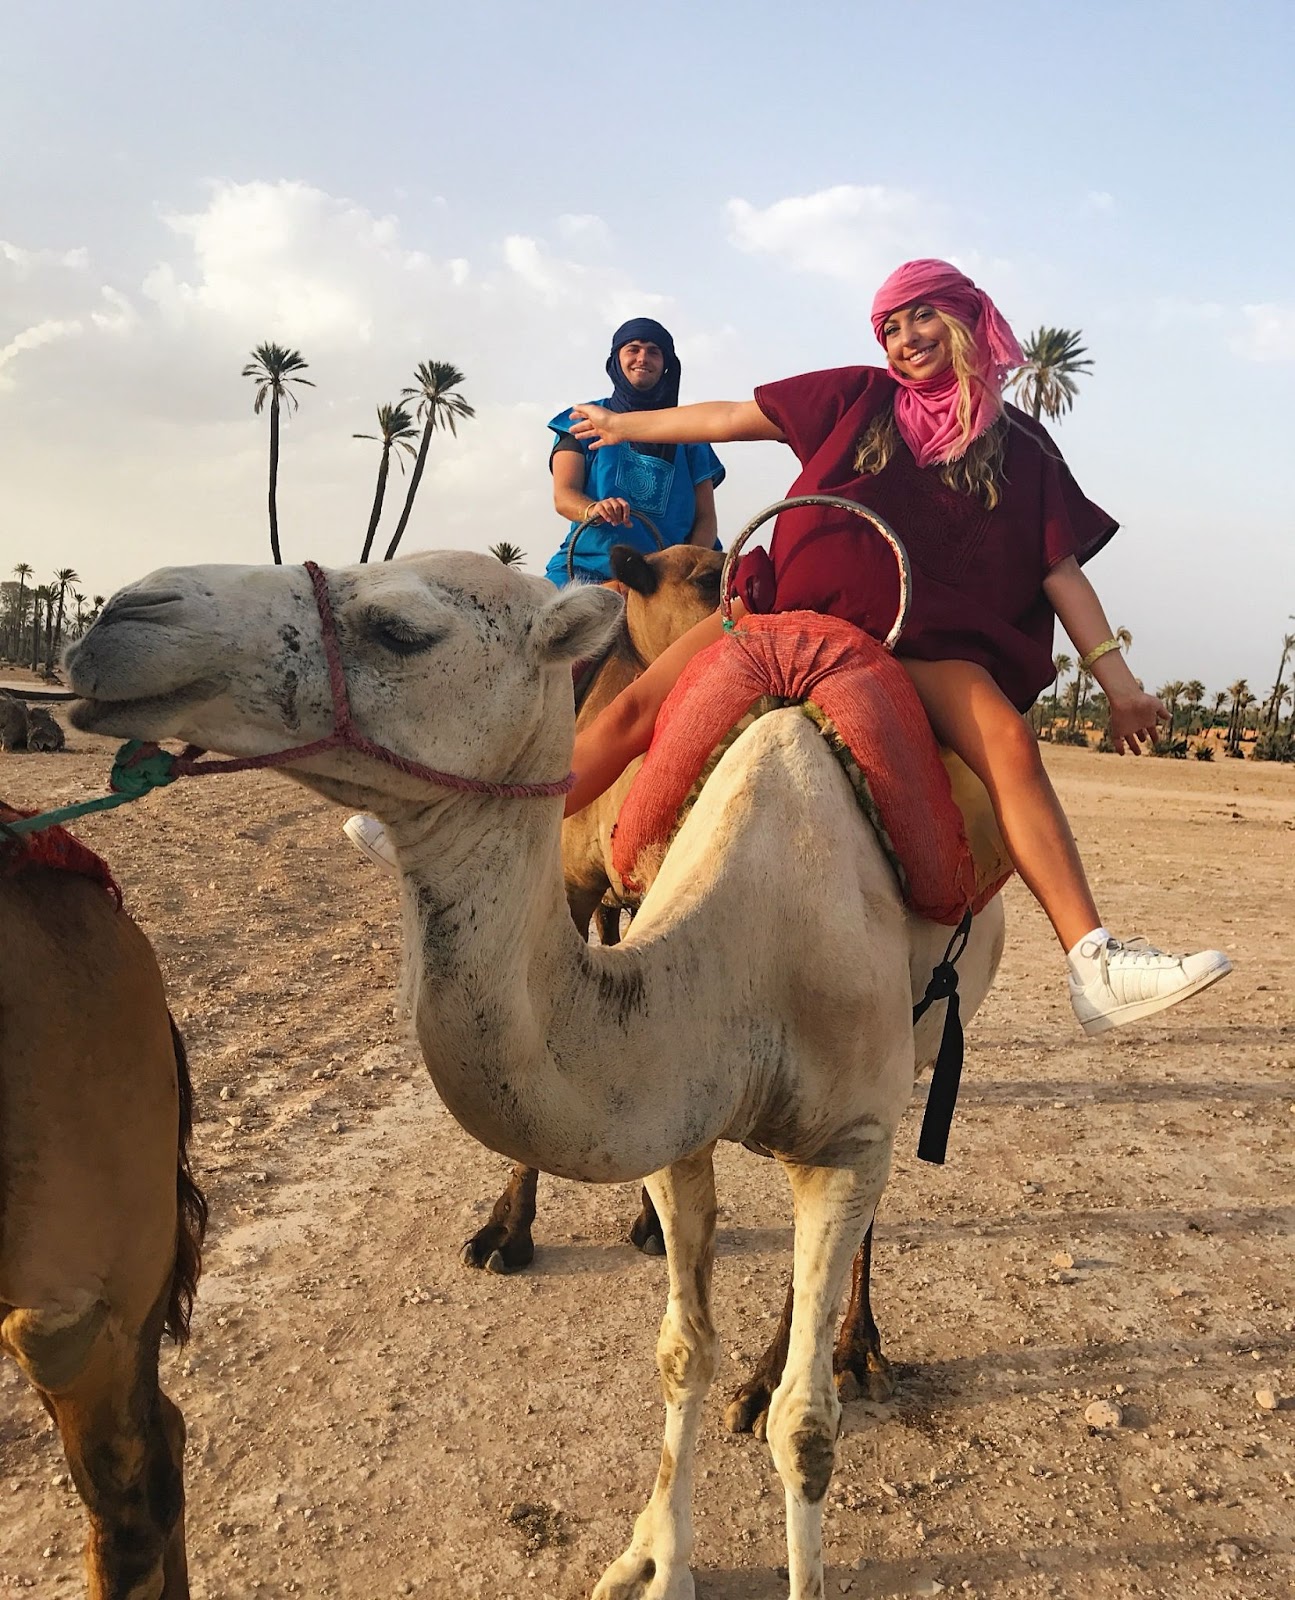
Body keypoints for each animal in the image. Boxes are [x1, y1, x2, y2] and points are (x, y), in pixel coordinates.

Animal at [65, 553, 1005, 1600]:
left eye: (401, 629)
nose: (120, 616)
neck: (748, 955)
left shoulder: (844, 1140)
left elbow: (805, 1430)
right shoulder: (670, 1120)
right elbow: (681, 1351)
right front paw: (655, 1561)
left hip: (914, 1053)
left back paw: (849, 1354)